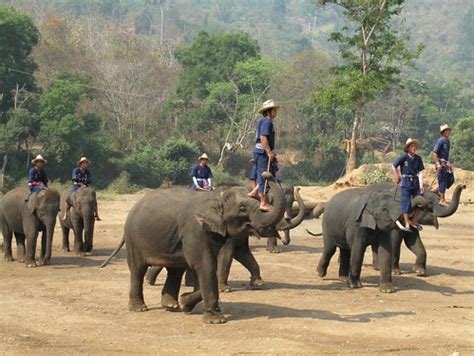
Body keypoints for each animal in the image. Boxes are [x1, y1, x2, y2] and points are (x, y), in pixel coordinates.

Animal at [100, 179, 286, 324]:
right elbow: (205, 265)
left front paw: (185, 303)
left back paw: (171, 305)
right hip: (133, 239)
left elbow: (205, 268)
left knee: (175, 269)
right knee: (138, 269)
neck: (214, 197)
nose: (266, 175)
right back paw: (140, 308)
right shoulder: (195, 229)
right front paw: (216, 320)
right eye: (242, 208)